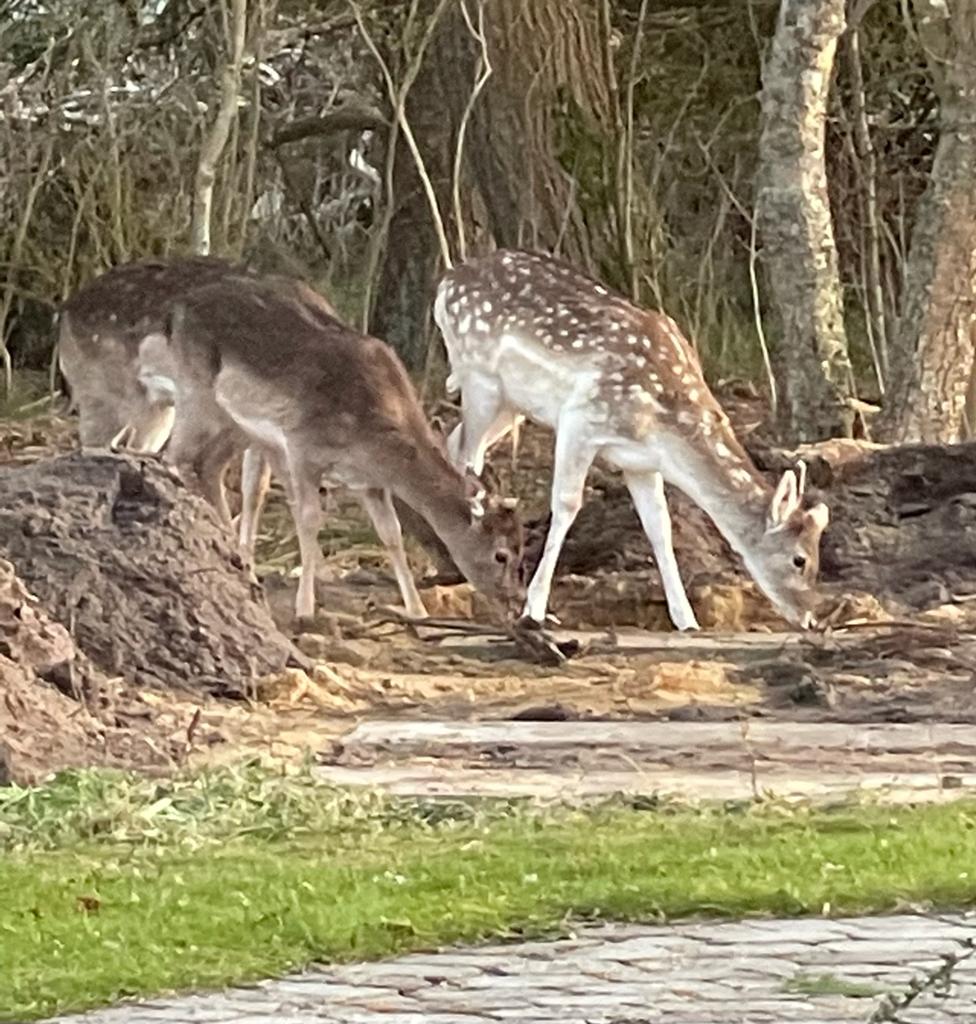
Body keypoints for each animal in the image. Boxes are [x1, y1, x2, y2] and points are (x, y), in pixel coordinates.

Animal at [136, 272, 523, 620]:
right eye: (501, 554)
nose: (516, 602)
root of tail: (175, 310)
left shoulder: (370, 482)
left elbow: (391, 534)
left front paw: (417, 610)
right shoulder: (302, 446)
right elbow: (309, 519)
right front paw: (305, 608)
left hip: (235, 423)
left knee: (210, 467)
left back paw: (237, 559)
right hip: (195, 395)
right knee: (174, 455)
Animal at [434, 249, 830, 631]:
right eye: (799, 559)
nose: (810, 618)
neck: (663, 426)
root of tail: (445, 283)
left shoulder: (642, 462)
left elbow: (660, 528)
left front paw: (687, 620)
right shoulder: (581, 419)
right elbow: (566, 506)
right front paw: (535, 609)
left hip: (512, 403)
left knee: (454, 445)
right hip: (479, 377)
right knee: (469, 458)